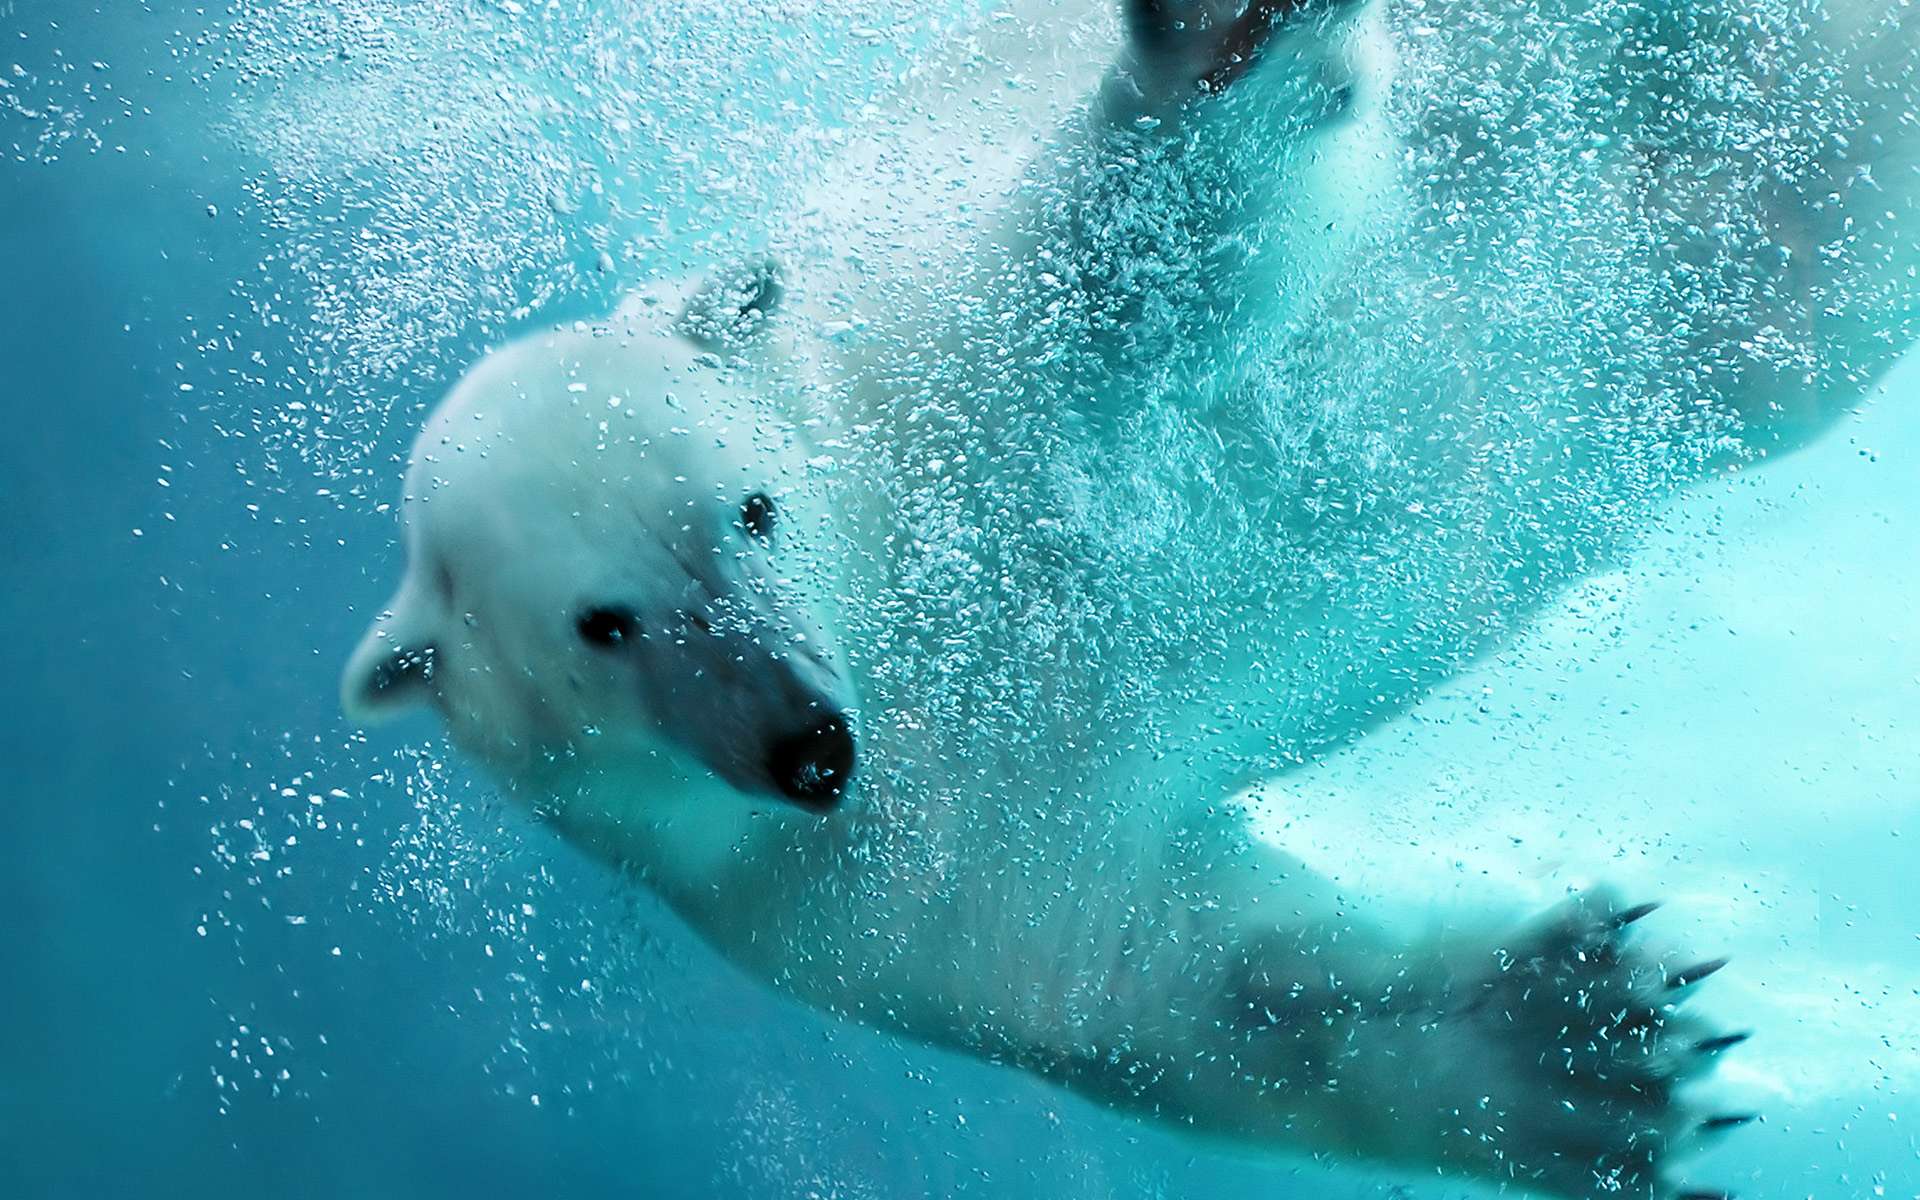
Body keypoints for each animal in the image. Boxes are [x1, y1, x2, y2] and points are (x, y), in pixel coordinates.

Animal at [337, 0, 1912, 1190]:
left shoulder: (951, 359)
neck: (902, 604)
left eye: (751, 509)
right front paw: (1589, 1048)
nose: (810, 745)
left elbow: (1148, 257)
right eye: (602, 627)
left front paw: (1217, 36)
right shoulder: (863, 896)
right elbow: (1173, 982)